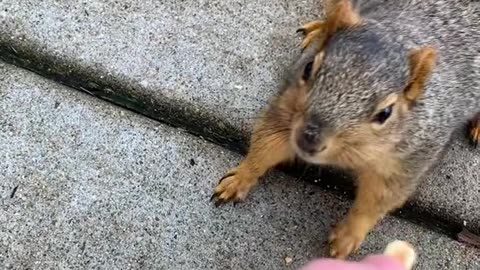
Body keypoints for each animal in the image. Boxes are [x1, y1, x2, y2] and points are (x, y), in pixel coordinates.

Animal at [212, 0, 478, 258]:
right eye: (308, 68)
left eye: (385, 113)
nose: (309, 139)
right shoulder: (286, 112)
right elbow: (266, 147)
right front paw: (240, 178)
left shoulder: (409, 159)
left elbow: (376, 202)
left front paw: (347, 237)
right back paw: (321, 26)